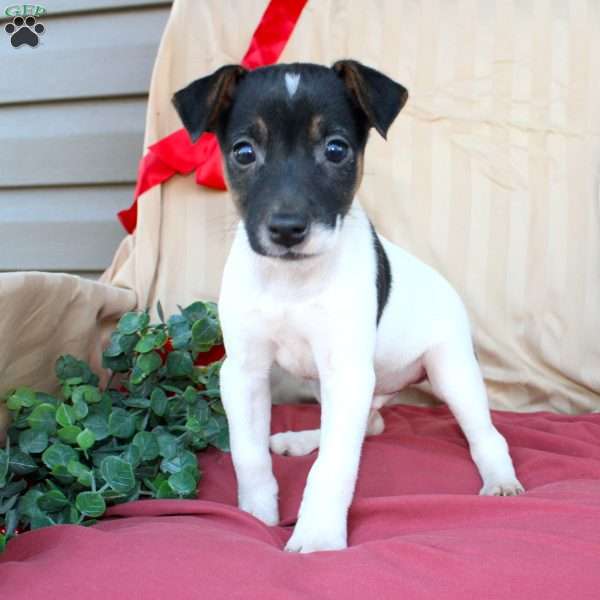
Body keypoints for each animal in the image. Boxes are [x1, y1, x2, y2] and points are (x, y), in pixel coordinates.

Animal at [171, 61, 524, 552]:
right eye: (243, 152)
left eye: (336, 149)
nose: (287, 228)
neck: (294, 281)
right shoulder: (243, 372)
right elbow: (249, 455)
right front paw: (256, 516)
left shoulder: (347, 369)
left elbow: (335, 465)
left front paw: (318, 534)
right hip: (333, 385)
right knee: (366, 426)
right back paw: (302, 439)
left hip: (450, 370)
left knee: (483, 434)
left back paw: (500, 479)